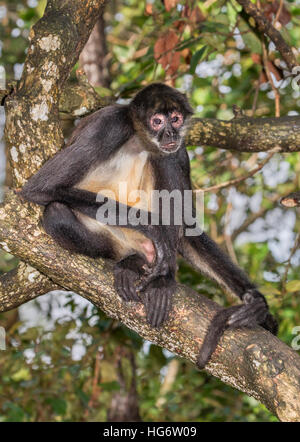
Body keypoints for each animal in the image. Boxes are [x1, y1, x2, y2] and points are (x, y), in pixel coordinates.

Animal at [19, 83, 276, 370]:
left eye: (175, 119)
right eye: (157, 121)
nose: (170, 133)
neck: (139, 140)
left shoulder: (179, 148)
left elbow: (186, 225)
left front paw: (256, 302)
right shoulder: (108, 127)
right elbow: (41, 188)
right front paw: (154, 228)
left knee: (165, 161)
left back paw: (163, 279)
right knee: (56, 213)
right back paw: (133, 261)